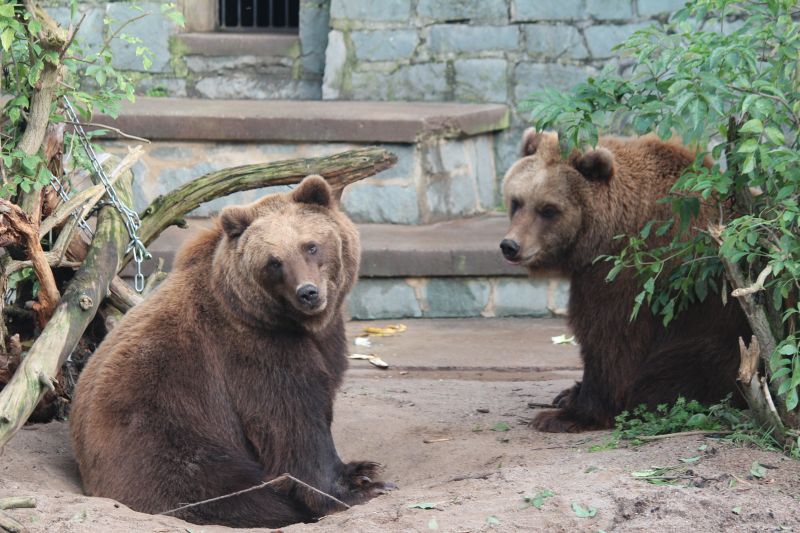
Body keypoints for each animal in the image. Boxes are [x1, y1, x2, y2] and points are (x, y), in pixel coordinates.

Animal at [72, 176, 390, 528]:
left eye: (310, 245)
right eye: (274, 262)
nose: (307, 292)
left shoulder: (323, 341)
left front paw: (363, 470)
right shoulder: (252, 352)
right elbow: (293, 424)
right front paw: (359, 487)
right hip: (163, 431)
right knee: (221, 486)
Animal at [500, 129, 752, 432]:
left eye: (548, 209)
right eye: (517, 201)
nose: (510, 246)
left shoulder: (627, 270)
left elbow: (610, 340)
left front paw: (569, 415)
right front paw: (568, 396)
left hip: (722, 334)